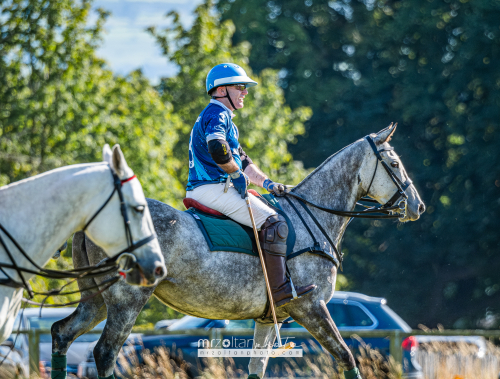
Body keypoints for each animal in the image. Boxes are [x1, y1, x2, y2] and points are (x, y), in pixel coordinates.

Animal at [51, 126, 426, 378]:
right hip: (128, 299)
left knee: (61, 333)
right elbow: (346, 357)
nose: (418, 206)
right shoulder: (310, 305)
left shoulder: (269, 317)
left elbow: (257, 367)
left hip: (96, 299)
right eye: (394, 163)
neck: (314, 218)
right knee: (104, 352)